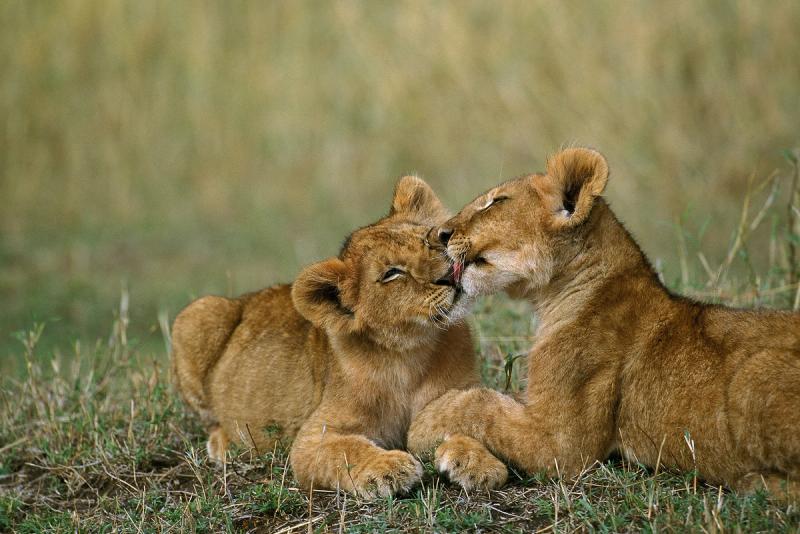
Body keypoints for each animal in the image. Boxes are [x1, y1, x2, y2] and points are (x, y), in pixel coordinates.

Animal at [171, 175, 506, 498]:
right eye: (392, 273)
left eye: (429, 241)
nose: (449, 276)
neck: (411, 352)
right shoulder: (312, 438)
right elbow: (347, 450)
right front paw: (389, 468)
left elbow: (463, 421)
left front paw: (479, 463)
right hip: (197, 314)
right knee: (211, 421)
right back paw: (224, 444)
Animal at [408, 147, 800, 502]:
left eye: (497, 202)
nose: (439, 234)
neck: (556, 294)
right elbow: (494, 399)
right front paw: (462, 455)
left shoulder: (563, 444)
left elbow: (479, 402)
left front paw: (424, 425)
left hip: (755, 372)